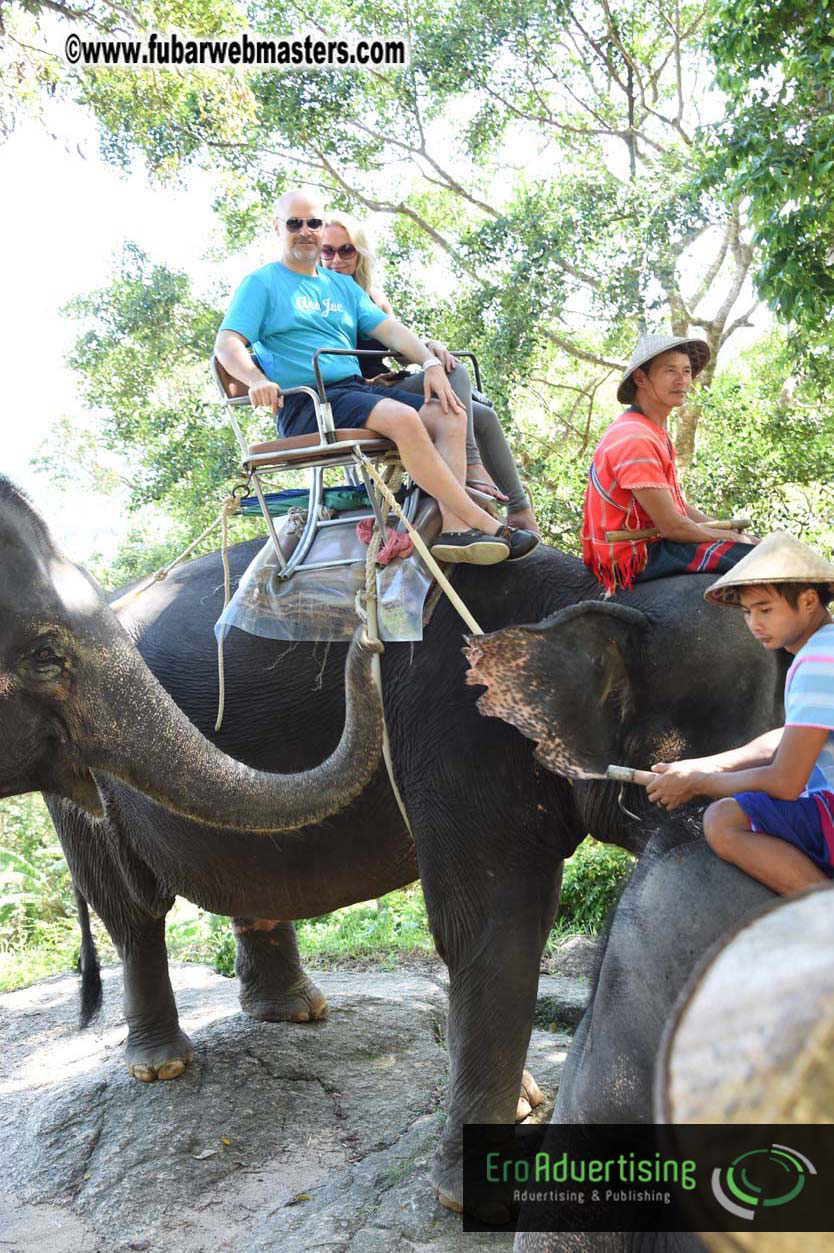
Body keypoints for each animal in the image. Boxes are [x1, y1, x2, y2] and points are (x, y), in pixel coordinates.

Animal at [1, 473, 788, 1213]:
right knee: (132, 910)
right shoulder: (458, 732)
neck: (593, 596)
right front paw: (474, 1193)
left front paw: (526, 1105)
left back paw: (295, 1012)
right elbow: (494, 928)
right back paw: (163, 1064)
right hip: (79, 779)